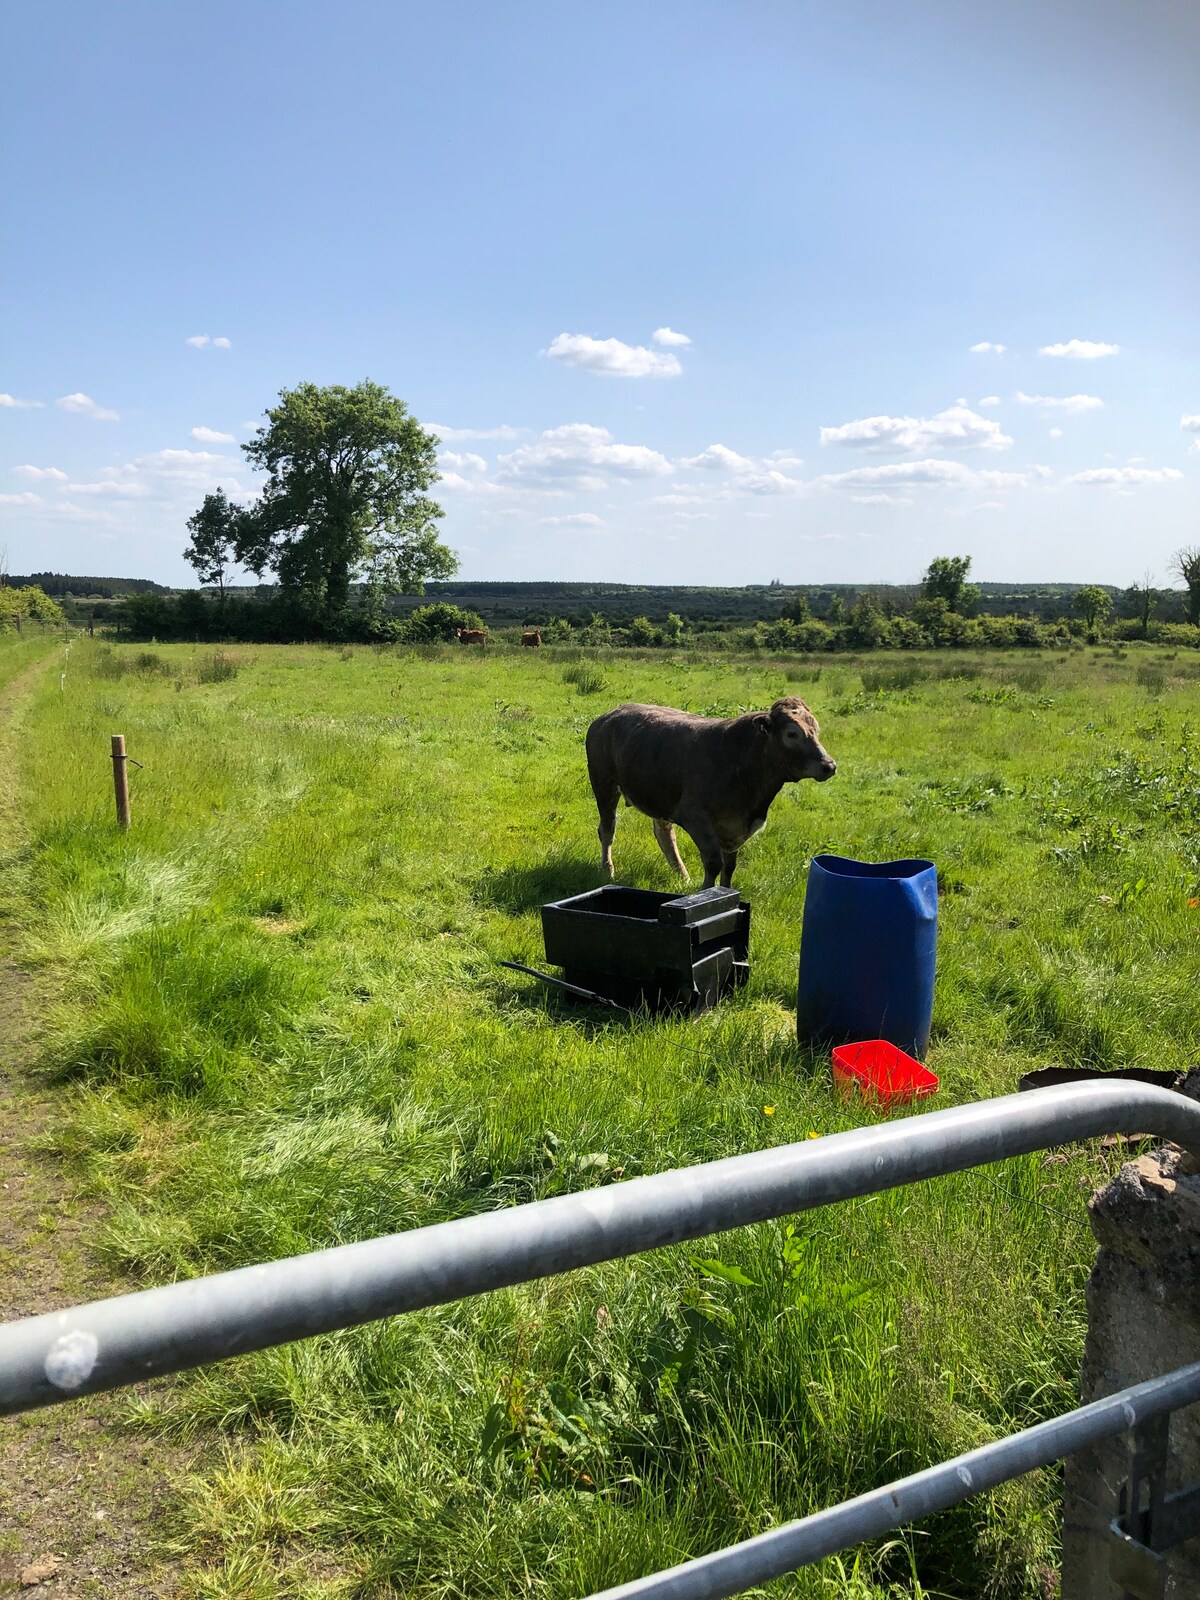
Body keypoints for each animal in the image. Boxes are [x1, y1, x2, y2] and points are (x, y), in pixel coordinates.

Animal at [585, 694, 838, 889]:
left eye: (816, 730)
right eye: (792, 733)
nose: (829, 765)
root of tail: (609, 715)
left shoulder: (733, 831)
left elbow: (729, 867)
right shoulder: (695, 817)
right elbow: (714, 862)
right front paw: (704, 893)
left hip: (659, 796)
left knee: (664, 834)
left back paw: (682, 875)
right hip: (604, 785)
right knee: (607, 829)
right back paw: (608, 869)